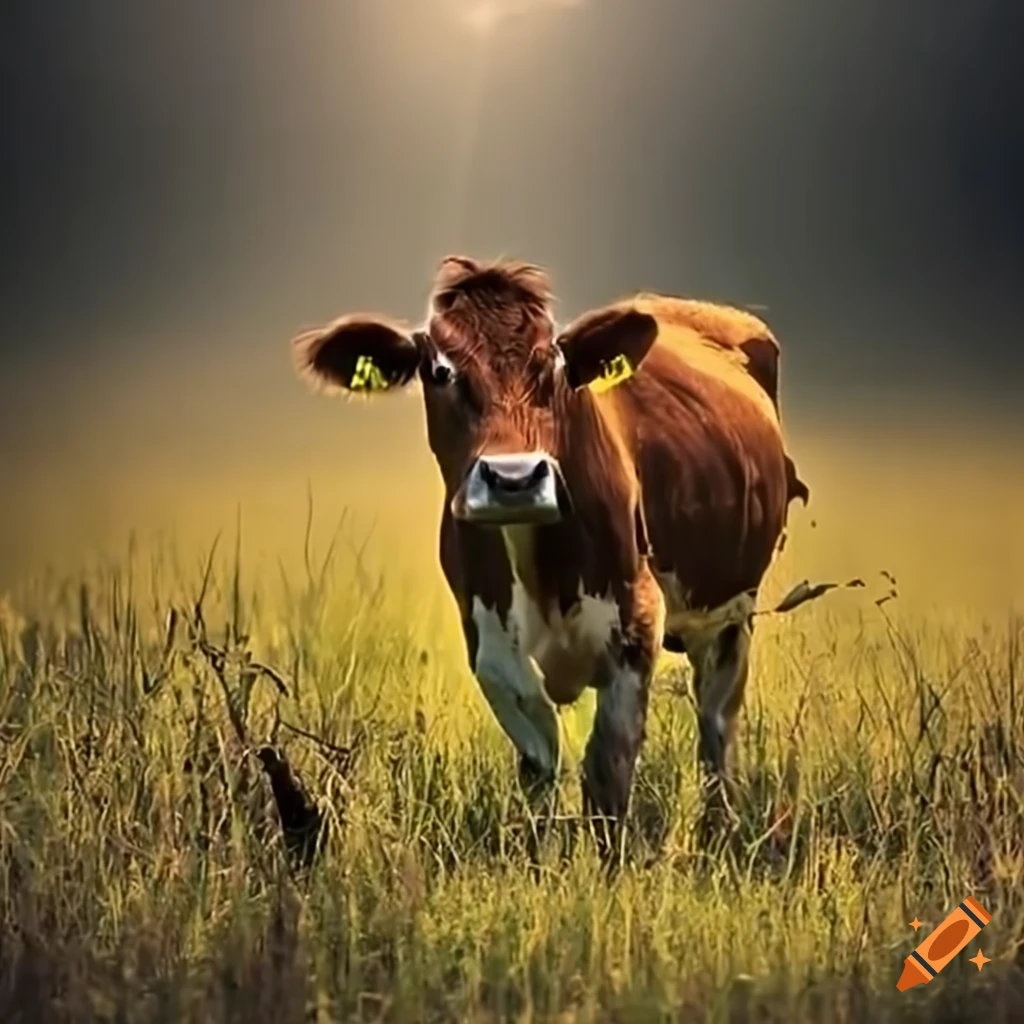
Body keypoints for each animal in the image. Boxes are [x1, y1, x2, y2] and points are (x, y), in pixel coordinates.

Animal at [291, 255, 808, 844]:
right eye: (440, 371)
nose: (514, 478)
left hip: (732, 614)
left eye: (554, 366)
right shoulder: (488, 640)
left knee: (717, 724)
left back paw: (719, 826)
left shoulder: (636, 621)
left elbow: (608, 768)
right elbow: (539, 758)